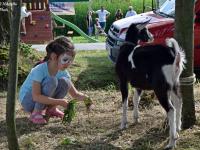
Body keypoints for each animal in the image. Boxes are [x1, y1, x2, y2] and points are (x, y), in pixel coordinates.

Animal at [115, 21, 186, 149]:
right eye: (145, 30)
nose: (152, 36)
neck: (128, 48)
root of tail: (173, 55)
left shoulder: (123, 80)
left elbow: (125, 102)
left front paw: (123, 124)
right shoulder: (138, 83)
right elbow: (136, 99)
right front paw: (136, 118)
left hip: (160, 88)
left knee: (171, 109)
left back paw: (172, 141)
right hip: (174, 84)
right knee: (178, 102)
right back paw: (178, 128)